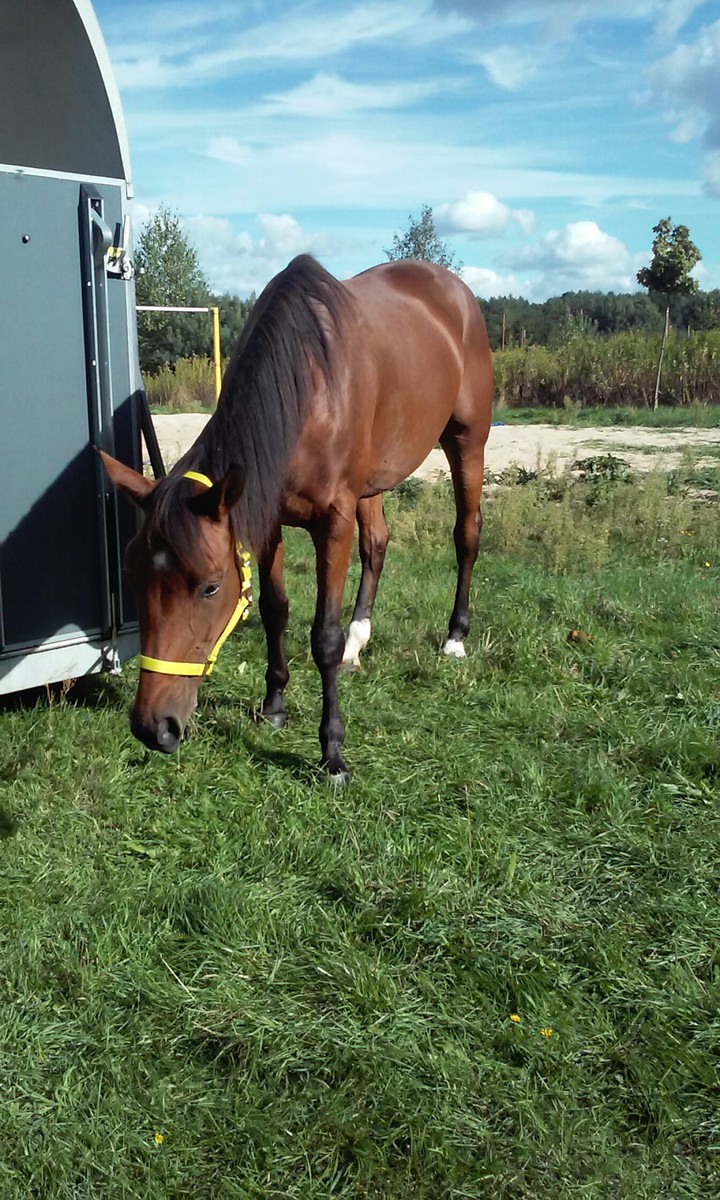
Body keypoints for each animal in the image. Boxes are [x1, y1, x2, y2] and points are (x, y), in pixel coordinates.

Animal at [100, 254, 493, 781]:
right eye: (136, 577)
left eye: (210, 587)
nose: (153, 727)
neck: (306, 390)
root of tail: (455, 290)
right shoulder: (266, 517)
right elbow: (275, 609)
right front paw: (274, 704)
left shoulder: (333, 521)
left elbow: (322, 634)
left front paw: (332, 752)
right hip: (373, 478)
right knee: (377, 543)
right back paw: (358, 642)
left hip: (467, 442)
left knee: (465, 535)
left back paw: (454, 637)